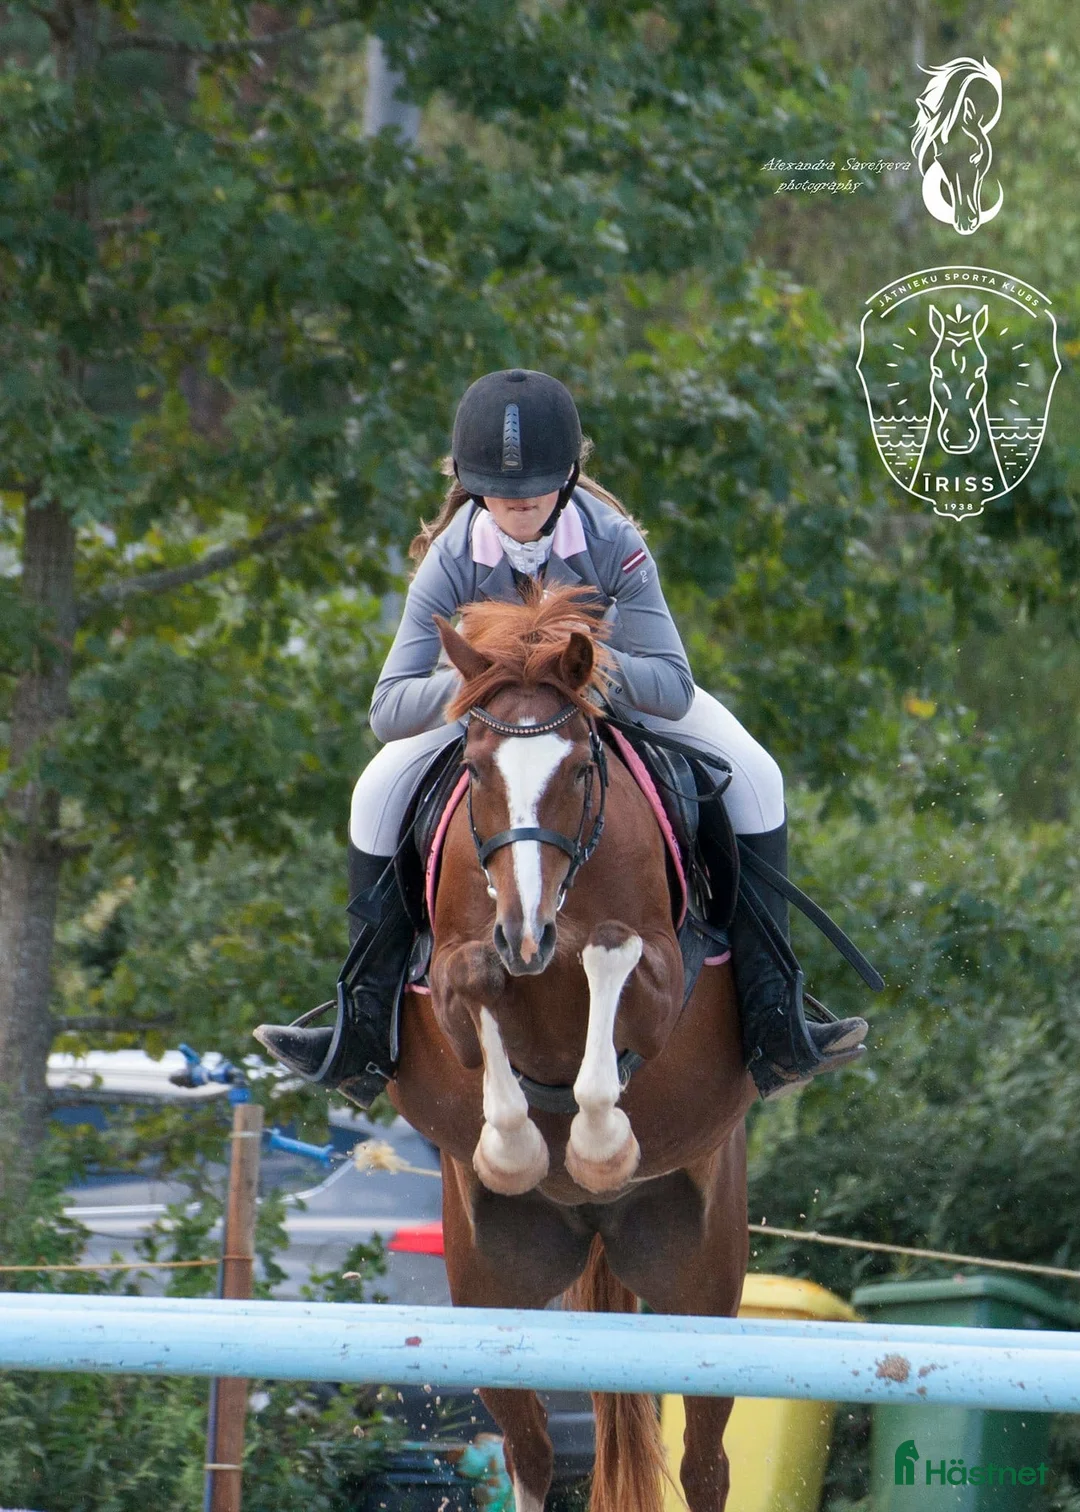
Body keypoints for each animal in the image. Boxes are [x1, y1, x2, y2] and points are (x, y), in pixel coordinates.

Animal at [386, 584, 757, 1512]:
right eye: (476, 769)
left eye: (582, 771)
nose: (527, 932)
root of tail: (596, 1226)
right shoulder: (455, 973)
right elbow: (475, 981)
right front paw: (515, 1148)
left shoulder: (657, 976)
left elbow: (608, 955)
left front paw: (597, 1144)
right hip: (490, 1290)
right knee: (528, 1451)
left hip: (703, 1287)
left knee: (705, 1463)